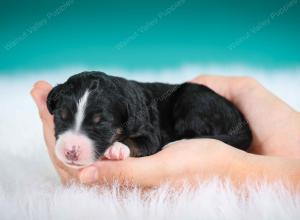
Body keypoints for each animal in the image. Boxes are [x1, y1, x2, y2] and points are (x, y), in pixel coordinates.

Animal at [47, 71, 252, 168]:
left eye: (101, 123)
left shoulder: (150, 133)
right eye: (60, 117)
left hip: (193, 99)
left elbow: (137, 142)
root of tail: (241, 120)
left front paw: (117, 148)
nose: (71, 151)